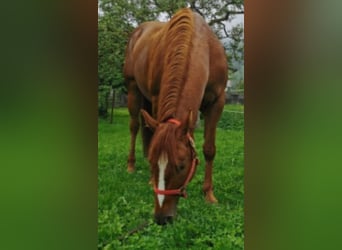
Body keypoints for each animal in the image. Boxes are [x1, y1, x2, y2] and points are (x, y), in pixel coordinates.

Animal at [123, 8, 227, 226]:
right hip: (133, 89)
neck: (200, 45)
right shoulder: (156, 96)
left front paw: (209, 194)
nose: (162, 218)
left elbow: (209, 149)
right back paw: (131, 165)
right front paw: (150, 176)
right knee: (135, 126)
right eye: (154, 164)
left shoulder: (217, 102)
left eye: (181, 166)